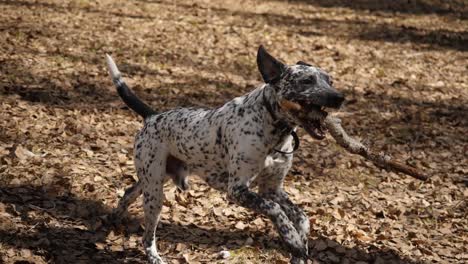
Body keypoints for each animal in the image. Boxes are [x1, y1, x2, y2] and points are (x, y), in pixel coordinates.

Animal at [105, 46, 344, 264]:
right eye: (307, 80)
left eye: (330, 81)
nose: (340, 97)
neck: (271, 125)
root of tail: (152, 116)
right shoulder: (237, 190)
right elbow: (276, 211)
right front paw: (292, 239)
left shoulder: (272, 189)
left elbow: (302, 218)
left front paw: (299, 247)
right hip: (155, 194)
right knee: (147, 237)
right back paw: (154, 256)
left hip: (153, 180)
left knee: (128, 192)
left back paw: (113, 218)